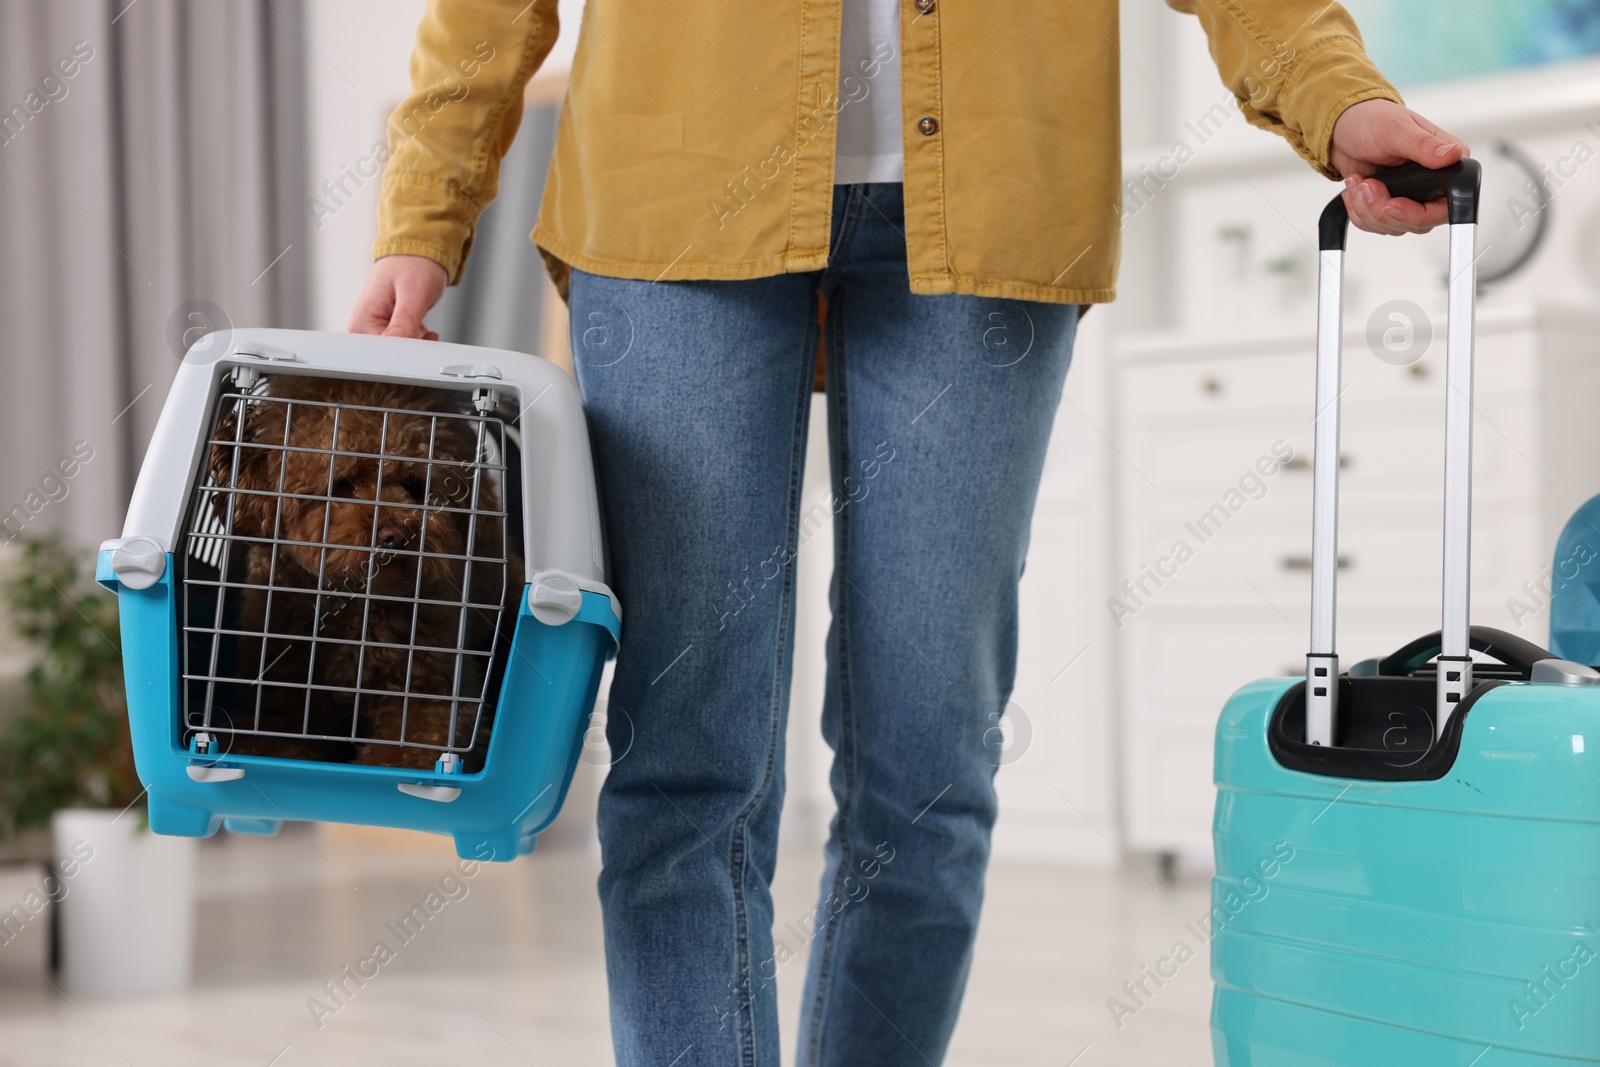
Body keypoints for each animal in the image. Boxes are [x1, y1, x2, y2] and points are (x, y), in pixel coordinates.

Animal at [203, 375, 521, 767]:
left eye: (415, 485)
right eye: (343, 482)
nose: (395, 535)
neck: (358, 610)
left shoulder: (430, 695)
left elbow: (405, 750)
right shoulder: (282, 695)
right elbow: (271, 738)